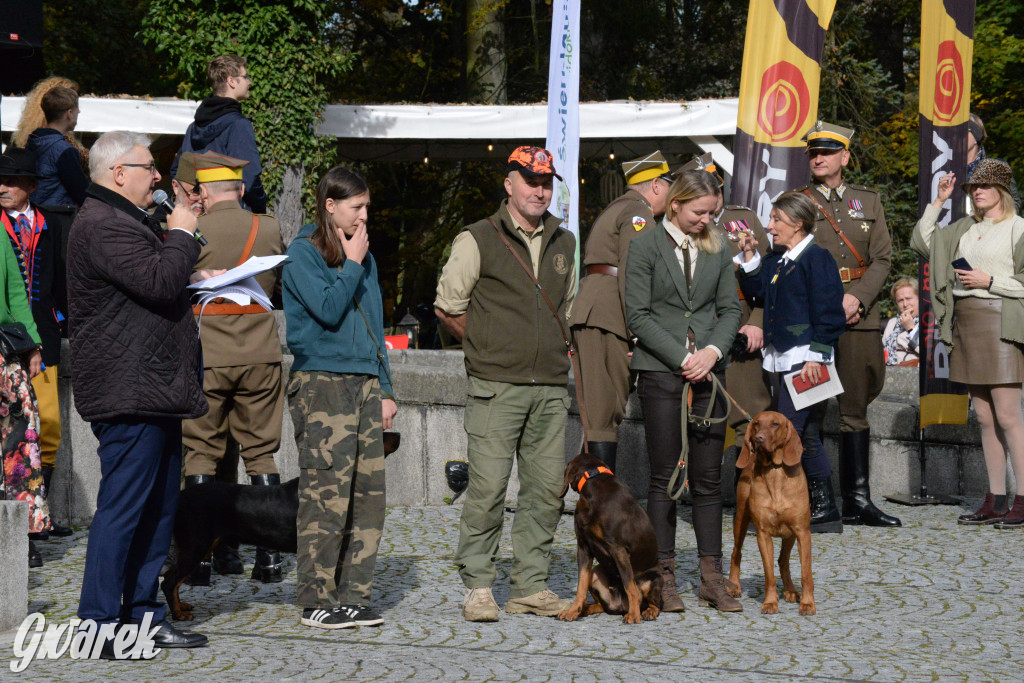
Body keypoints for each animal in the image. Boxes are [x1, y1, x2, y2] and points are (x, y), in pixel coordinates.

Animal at [557, 450, 659, 622]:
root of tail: (620, 606)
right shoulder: (583, 546)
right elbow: (581, 585)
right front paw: (572, 611)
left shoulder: (618, 548)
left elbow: (629, 585)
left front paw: (633, 615)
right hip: (595, 574)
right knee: (601, 606)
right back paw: (585, 609)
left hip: (650, 578)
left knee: (654, 602)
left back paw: (645, 611)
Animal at [729, 413, 815, 618]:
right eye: (757, 424)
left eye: (775, 424)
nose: (758, 438)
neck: (776, 471)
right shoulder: (763, 534)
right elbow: (769, 575)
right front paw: (770, 602)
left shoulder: (803, 533)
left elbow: (806, 574)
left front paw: (808, 603)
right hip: (741, 520)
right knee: (736, 552)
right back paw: (734, 585)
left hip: (790, 535)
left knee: (783, 560)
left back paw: (791, 590)